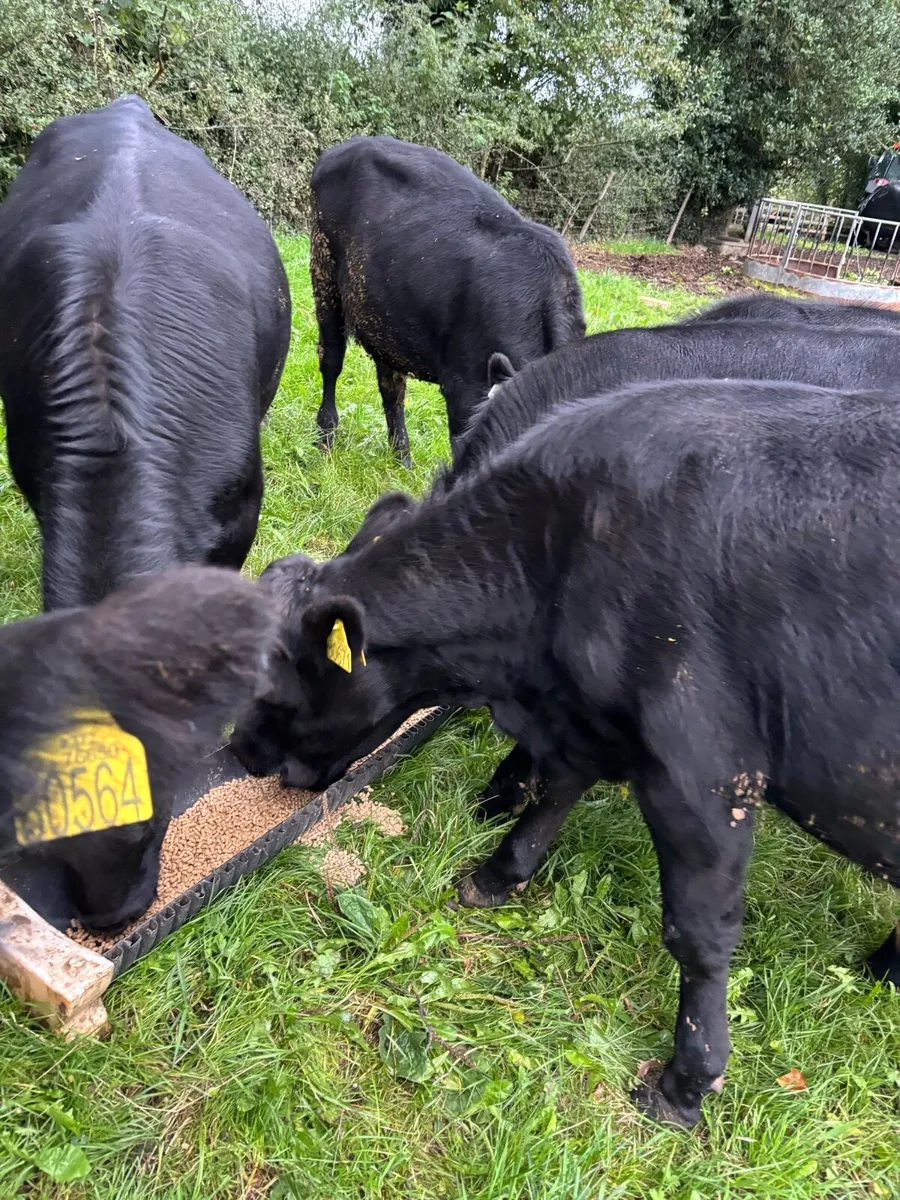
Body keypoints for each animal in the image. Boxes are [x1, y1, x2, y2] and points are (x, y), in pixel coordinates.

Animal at [230, 378, 900, 1127]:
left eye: (274, 688)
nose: (241, 753)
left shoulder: (704, 771)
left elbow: (698, 933)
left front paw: (687, 1084)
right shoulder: (588, 720)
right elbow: (555, 791)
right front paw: (496, 874)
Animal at [309, 135, 585, 464]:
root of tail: (350, 145)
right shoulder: (463, 389)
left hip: (384, 314)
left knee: (391, 386)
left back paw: (402, 459)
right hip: (323, 272)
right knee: (331, 360)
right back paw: (325, 440)